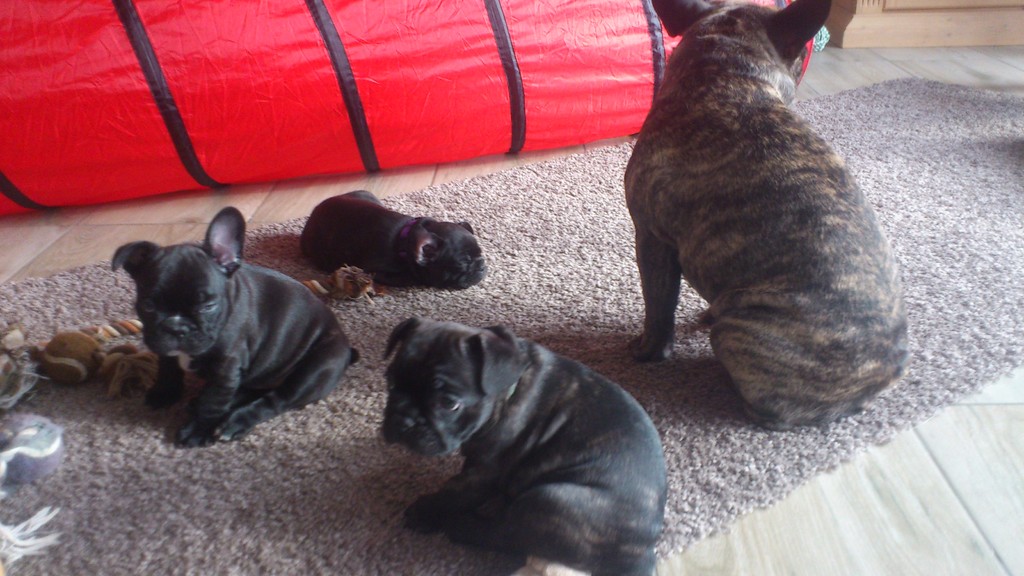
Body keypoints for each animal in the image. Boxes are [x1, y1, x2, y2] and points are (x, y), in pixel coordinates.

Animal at [113, 207, 359, 447]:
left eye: (208, 306)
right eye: (148, 305)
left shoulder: (225, 370)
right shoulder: (165, 349)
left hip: (316, 370)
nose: (177, 328)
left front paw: (197, 431)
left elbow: (212, 403)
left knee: (277, 399)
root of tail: (346, 348)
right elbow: (168, 369)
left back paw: (234, 423)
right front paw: (164, 393)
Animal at [300, 190, 486, 289]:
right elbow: (406, 279)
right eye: (462, 263)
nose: (482, 265)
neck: (403, 243)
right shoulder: (375, 270)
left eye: (481, 254)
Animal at [381, 318, 667, 576]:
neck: (506, 389)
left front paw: (424, 510)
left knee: (505, 535)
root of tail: (640, 552)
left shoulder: (482, 473)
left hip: (548, 499)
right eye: (391, 383)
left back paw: (460, 525)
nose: (403, 420)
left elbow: (453, 493)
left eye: (449, 404)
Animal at [624, 0, 909, 429]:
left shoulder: (651, 238)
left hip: (737, 332)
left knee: (764, 408)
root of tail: (881, 377)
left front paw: (647, 351)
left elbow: (658, 308)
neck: (726, 77)